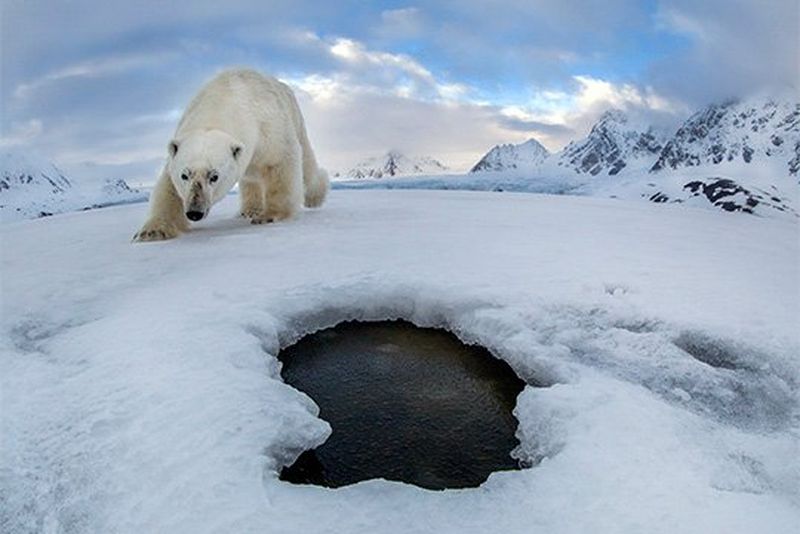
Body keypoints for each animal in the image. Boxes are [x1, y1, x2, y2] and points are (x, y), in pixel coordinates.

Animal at [133, 68, 329, 242]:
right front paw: (151, 232)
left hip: (295, 119)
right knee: (250, 180)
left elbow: (280, 164)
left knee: (307, 165)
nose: (194, 212)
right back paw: (249, 210)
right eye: (184, 175)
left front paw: (269, 216)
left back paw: (315, 197)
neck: (223, 97)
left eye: (214, 176)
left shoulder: (269, 127)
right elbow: (169, 187)